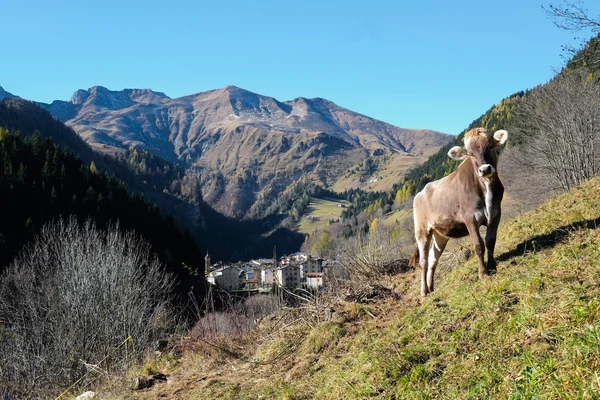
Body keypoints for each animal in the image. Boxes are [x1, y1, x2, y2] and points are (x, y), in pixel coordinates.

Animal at [412, 128, 506, 296]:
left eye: (490, 146)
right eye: (470, 153)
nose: (485, 169)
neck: (486, 188)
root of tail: (420, 193)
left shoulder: (496, 214)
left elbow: (490, 242)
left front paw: (493, 267)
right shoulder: (470, 218)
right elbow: (479, 245)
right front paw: (483, 273)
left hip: (440, 234)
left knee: (433, 259)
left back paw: (431, 288)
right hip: (422, 231)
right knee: (423, 261)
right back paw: (424, 291)